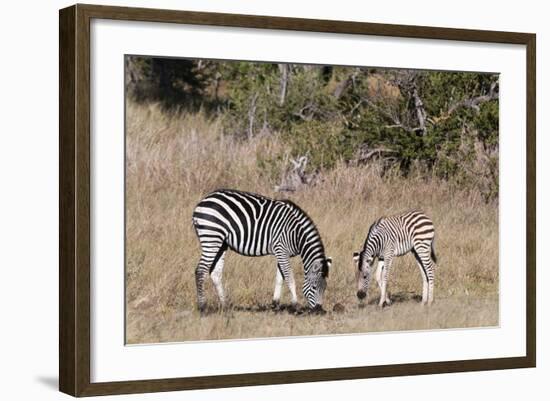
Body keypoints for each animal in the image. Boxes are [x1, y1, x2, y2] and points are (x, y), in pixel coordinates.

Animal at [192, 188, 334, 312]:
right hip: (211, 237)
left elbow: (279, 279)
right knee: (200, 270)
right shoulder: (281, 249)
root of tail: (202, 202)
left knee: (215, 273)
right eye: (314, 287)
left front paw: (275, 304)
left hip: (221, 243)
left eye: (325, 288)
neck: (296, 234)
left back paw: (225, 306)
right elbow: (289, 278)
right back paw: (202, 308)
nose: (318, 310)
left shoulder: (281, 252)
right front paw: (295, 305)